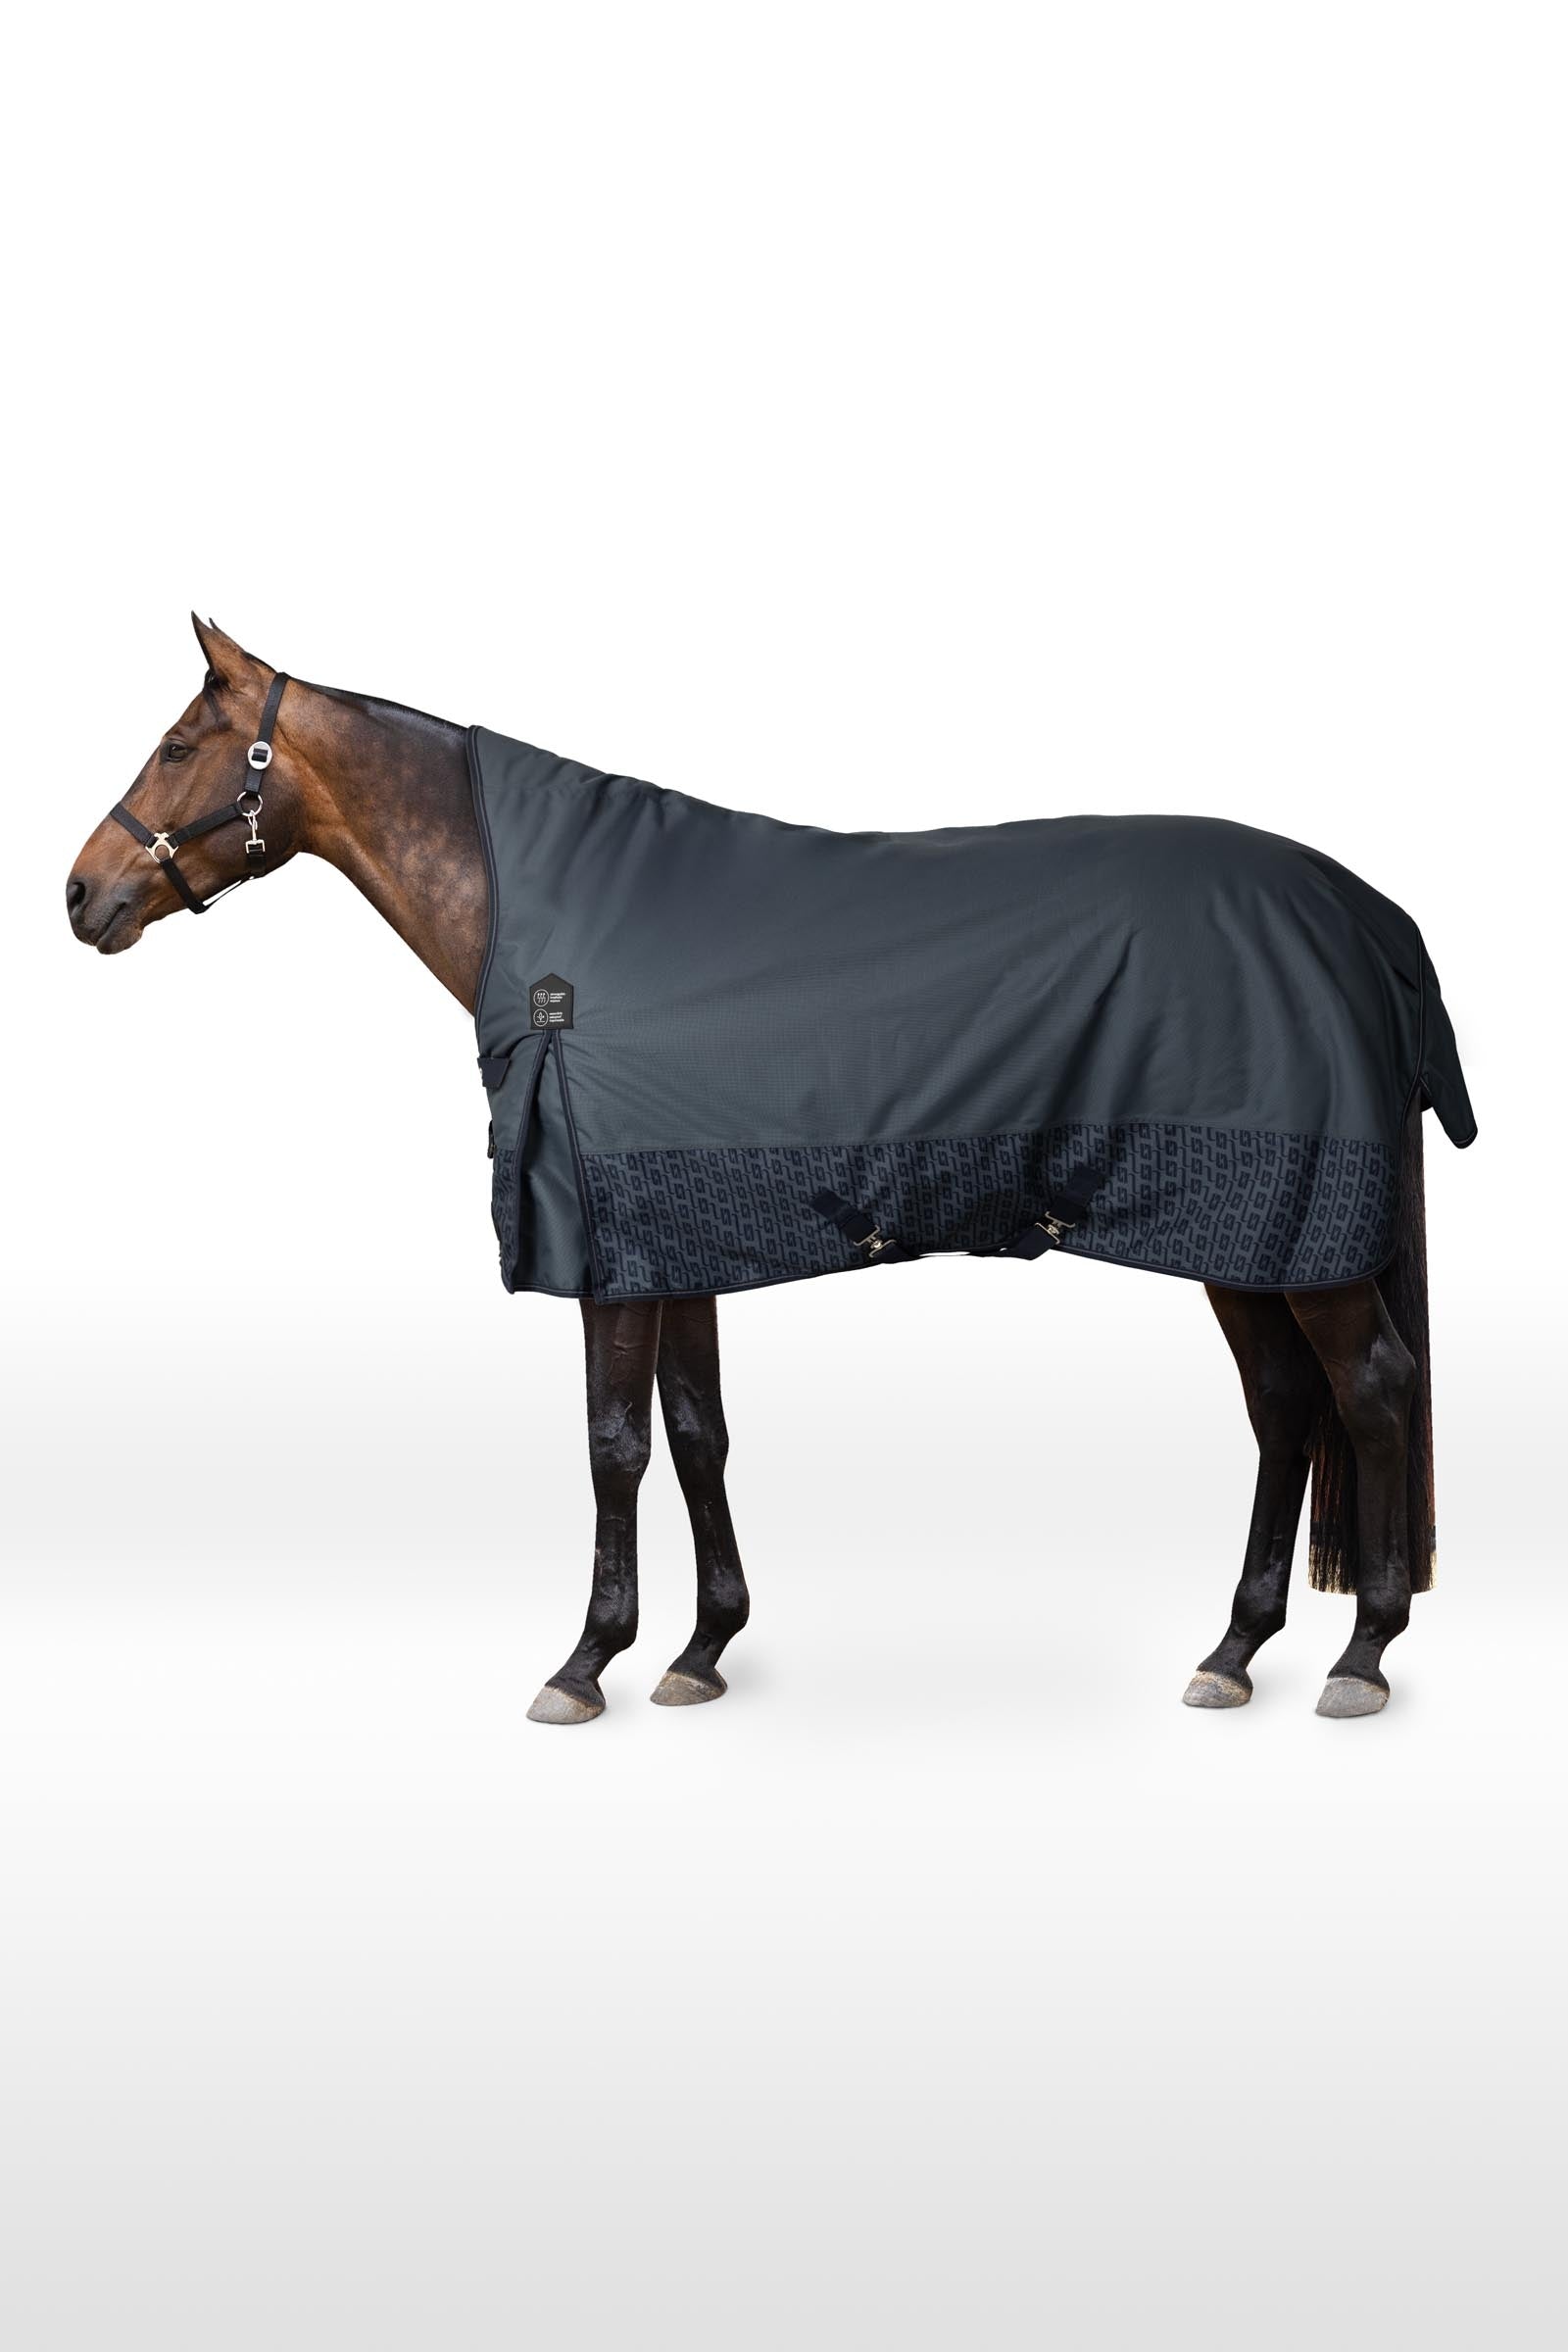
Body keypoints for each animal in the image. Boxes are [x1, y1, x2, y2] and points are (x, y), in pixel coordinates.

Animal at [66, 617, 1469, 1725]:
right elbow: (697, 1432)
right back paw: (1235, 1648)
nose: (81, 895)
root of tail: (1360, 912)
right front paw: (702, 1648)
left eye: (180, 746)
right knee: (1285, 1404)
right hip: (1242, 1238)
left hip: (1294, 1241)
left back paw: (1361, 1653)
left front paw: (586, 1662)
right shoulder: (672, 1244)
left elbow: (614, 1446)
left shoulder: (608, 1258)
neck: (560, 942)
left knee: (1371, 1391)